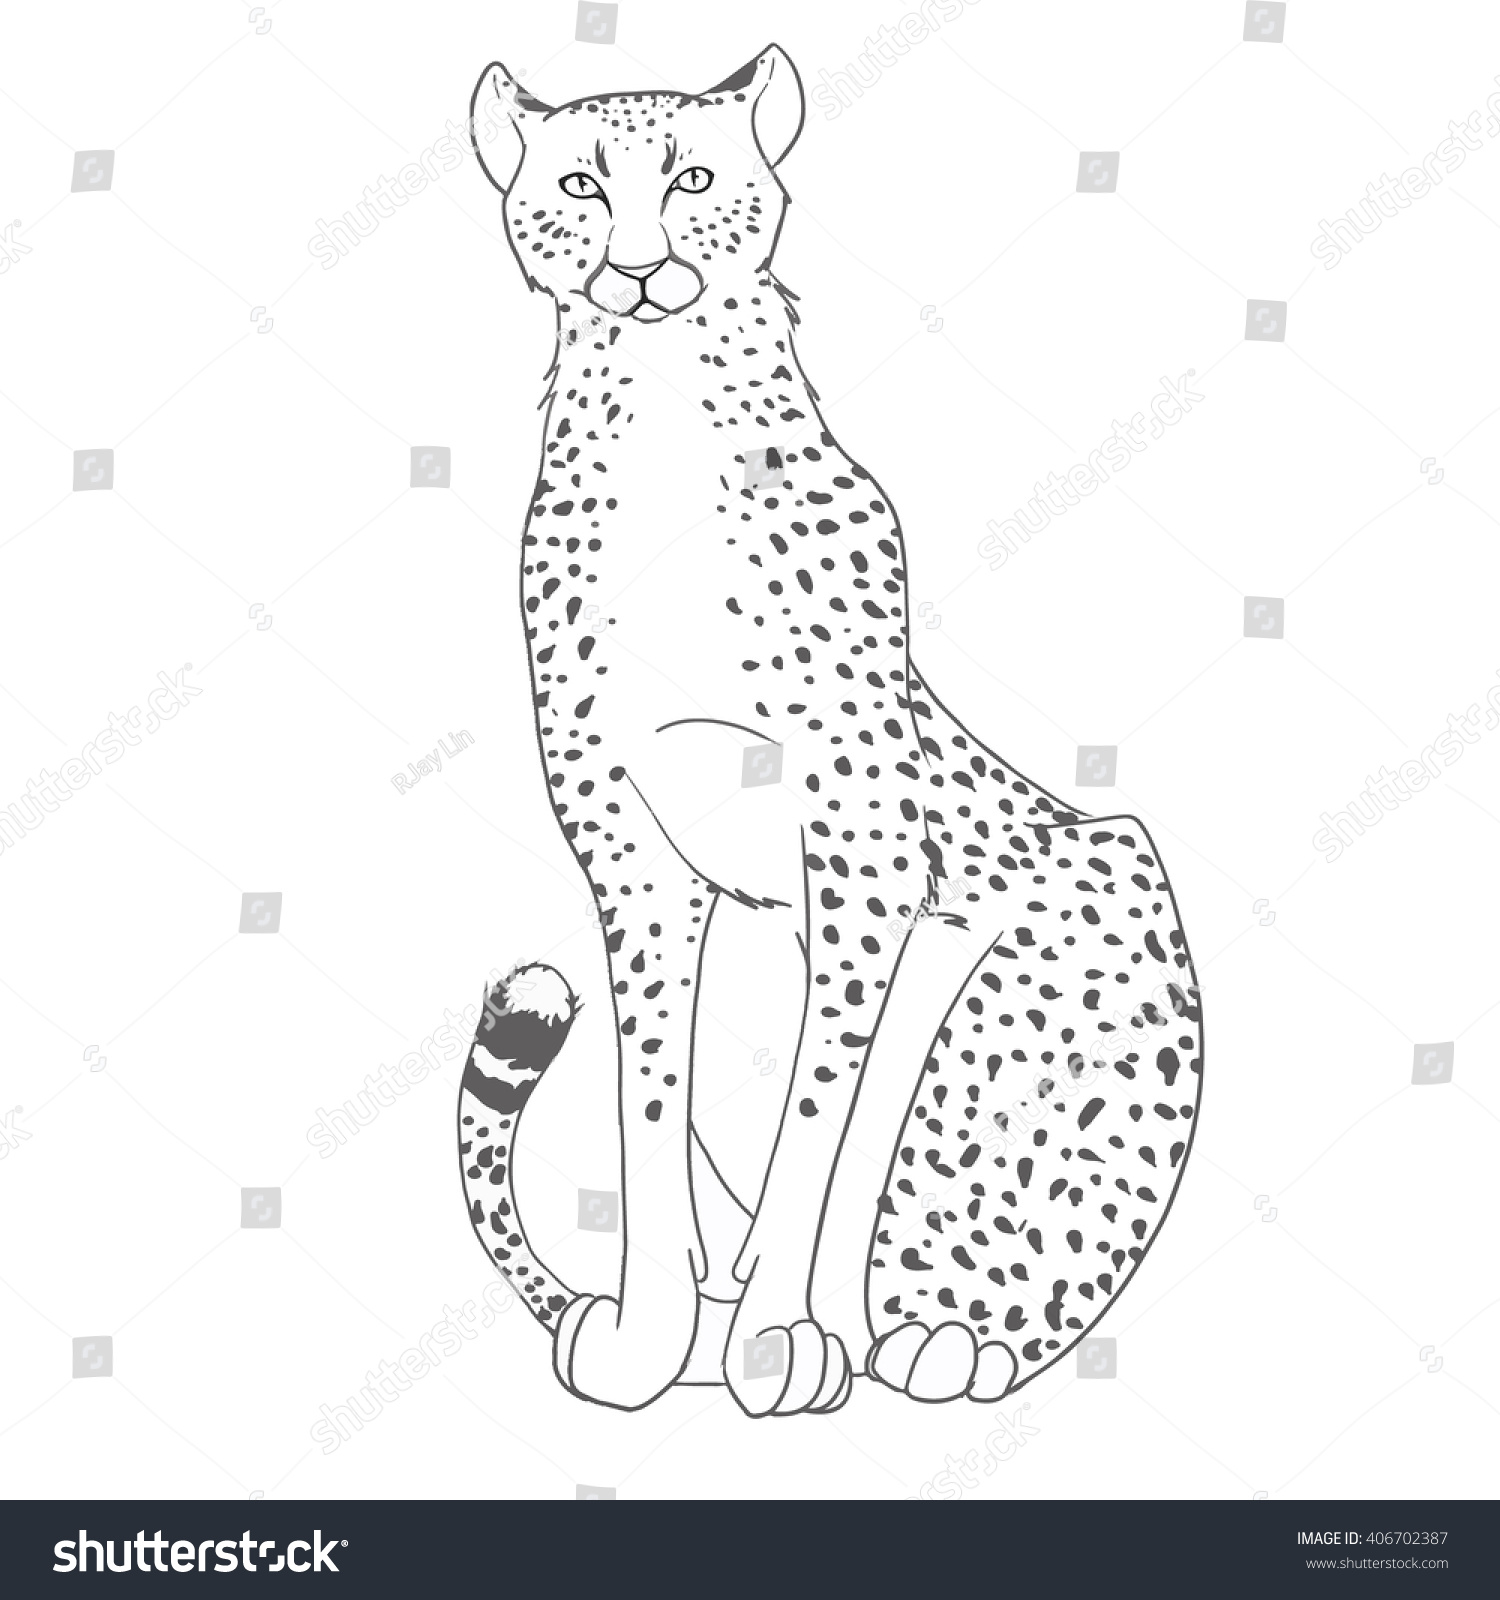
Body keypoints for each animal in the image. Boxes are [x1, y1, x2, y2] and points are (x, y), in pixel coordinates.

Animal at [455, 44, 1202, 1417]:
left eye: (692, 178)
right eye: (582, 185)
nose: (637, 263)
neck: (660, 425)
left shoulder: (871, 865)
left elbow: (823, 1126)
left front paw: (782, 1340)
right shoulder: (638, 866)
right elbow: (653, 1109)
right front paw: (654, 1338)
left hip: (1091, 897)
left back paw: (931, 1335)